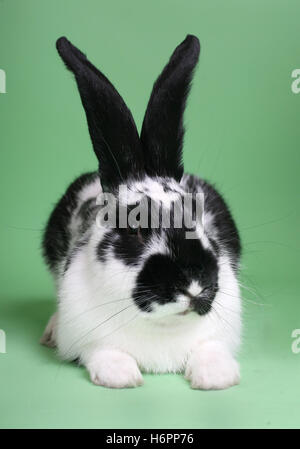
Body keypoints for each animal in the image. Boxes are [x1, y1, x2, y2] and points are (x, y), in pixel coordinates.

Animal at [41, 35, 241, 388]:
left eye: (198, 217)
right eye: (134, 229)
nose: (193, 284)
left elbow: (211, 348)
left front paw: (216, 376)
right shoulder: (87, 335)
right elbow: (103, 352)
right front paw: (120, 375)